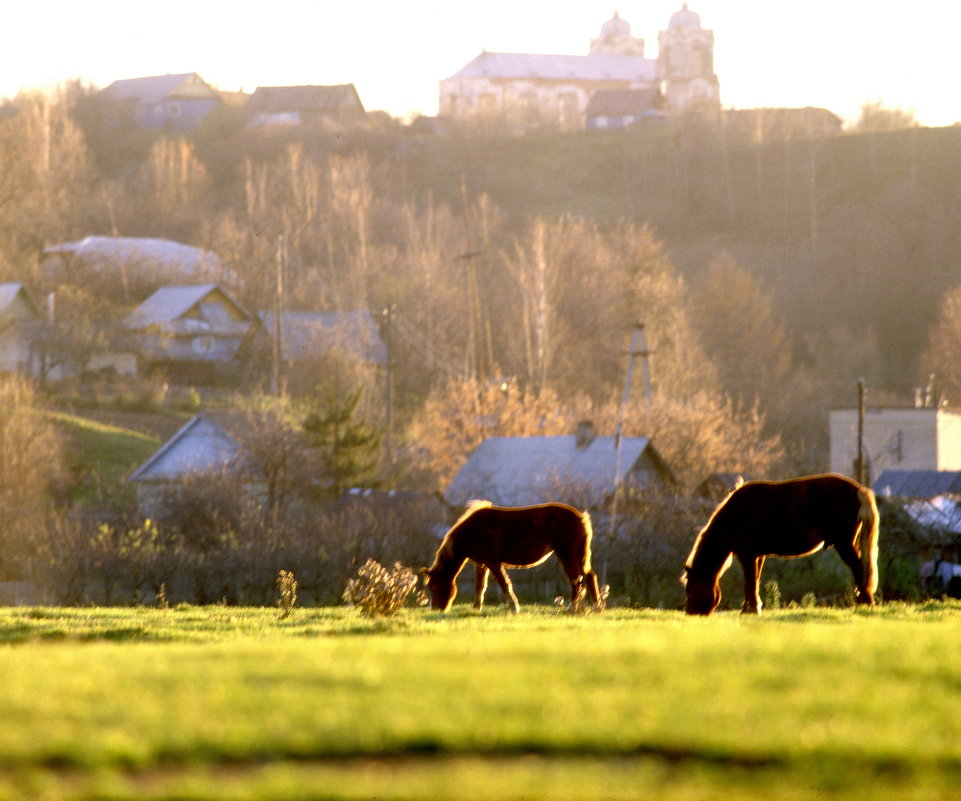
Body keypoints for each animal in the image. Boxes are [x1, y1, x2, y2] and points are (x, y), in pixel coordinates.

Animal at [422, 500, 600, 612]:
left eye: (433, 586)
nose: (436, 609)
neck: (472, 531)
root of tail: (581, 517)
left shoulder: (493, 562)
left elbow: (504, 584)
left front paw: (514, 607)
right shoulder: (482, 563)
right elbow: (480, 586)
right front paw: (476, 608)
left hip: (567, 554)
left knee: (576, 580)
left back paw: (573, 607)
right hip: (577, 556)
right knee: (588, 577)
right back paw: (595, 607)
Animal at [684, 472, 876, 616]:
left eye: (691, 589)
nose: (691, 614)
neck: (735, 514)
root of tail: (858, 489)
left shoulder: (746, 555)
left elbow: (749, 582)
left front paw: (750, 610)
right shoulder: (757, 556)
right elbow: (754, 580)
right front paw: (751, 607)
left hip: (844, 543)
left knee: (858, 568)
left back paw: (864, 602)